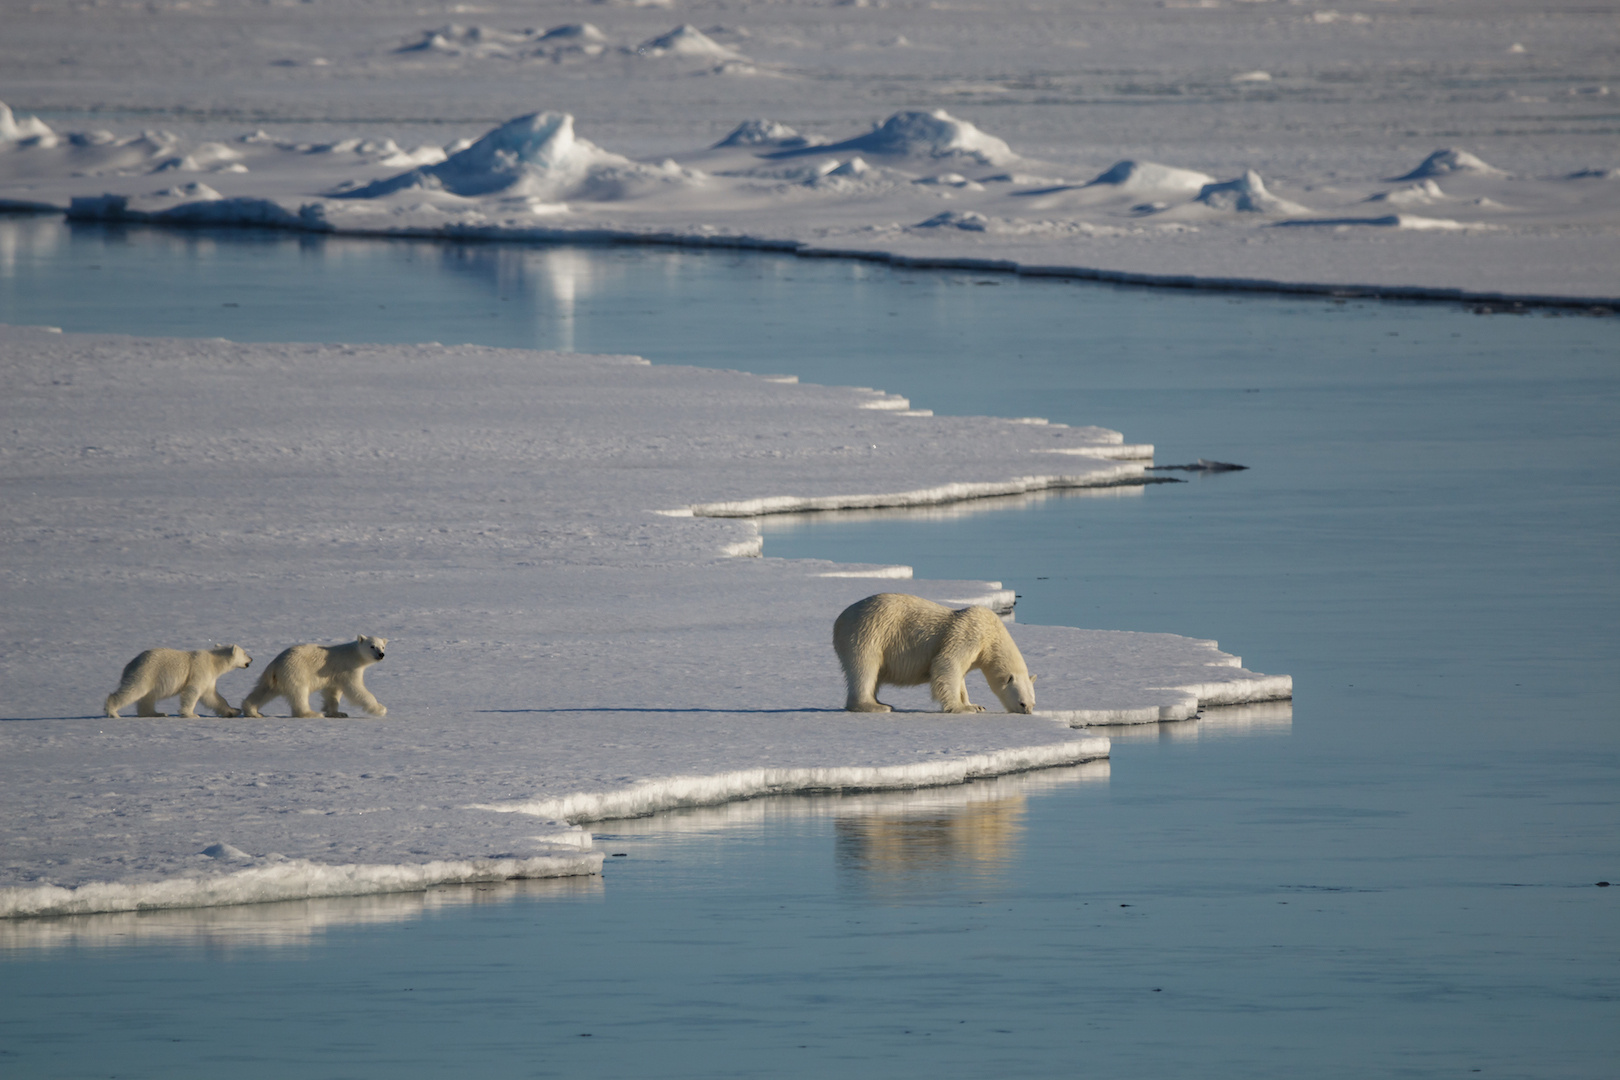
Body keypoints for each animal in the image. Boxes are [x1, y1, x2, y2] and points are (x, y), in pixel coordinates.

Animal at [104, 647, 251, 722]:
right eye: (245, 653)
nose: (251, 659)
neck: (213, 661)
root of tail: (130, 664)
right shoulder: (199, 670)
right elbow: (193, 691)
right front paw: (191, 714)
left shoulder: (209, 678)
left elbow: (213, 697)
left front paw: (234, 710)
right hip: (146, 672)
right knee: (133, 690)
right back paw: (113, 712)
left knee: (147, 697)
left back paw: (157, 713)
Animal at [239, 634, 388, 718]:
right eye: (372, 646)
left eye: (382, 646)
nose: (381, 654)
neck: (355, 654)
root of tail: (275, 664)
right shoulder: (348, 668)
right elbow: (355, 688)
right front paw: (380, 709)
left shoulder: (334, 674)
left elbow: (332, 692)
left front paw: (338, 713)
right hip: (296, 671)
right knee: (299, 692)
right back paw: (311, 713)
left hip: (275, 678)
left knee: (263, 691)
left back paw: (253, 711)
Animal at [835, 595, 1036, 712]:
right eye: (1022, 703)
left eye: (1033, 703)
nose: (1027, 712)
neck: (991, 632)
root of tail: (839, 620)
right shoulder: (968, 634)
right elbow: (947, 663)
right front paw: (961, 708)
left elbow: (960, 676)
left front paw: (975, 705)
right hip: (869, 632)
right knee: (866, 668)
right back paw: (874, 706)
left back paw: (880, 702)